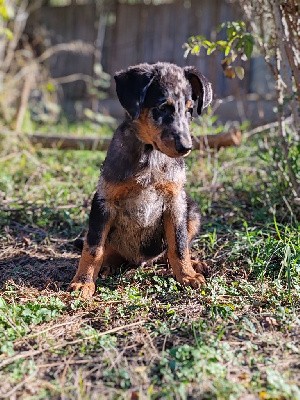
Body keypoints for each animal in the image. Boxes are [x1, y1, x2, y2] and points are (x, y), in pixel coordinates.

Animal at [69, 61, 212, 296]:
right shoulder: (104, 202)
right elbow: (93, 248)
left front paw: (187, 275)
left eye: (190, 110)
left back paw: (195, 264)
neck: (150, 155)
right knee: (107, 250)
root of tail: (140, 262)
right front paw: (83, 282)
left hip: (192, 210)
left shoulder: (176, 202)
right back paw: (107, 266)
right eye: (162, 108)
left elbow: (179, 244)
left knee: (169, 252)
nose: (186, 148)